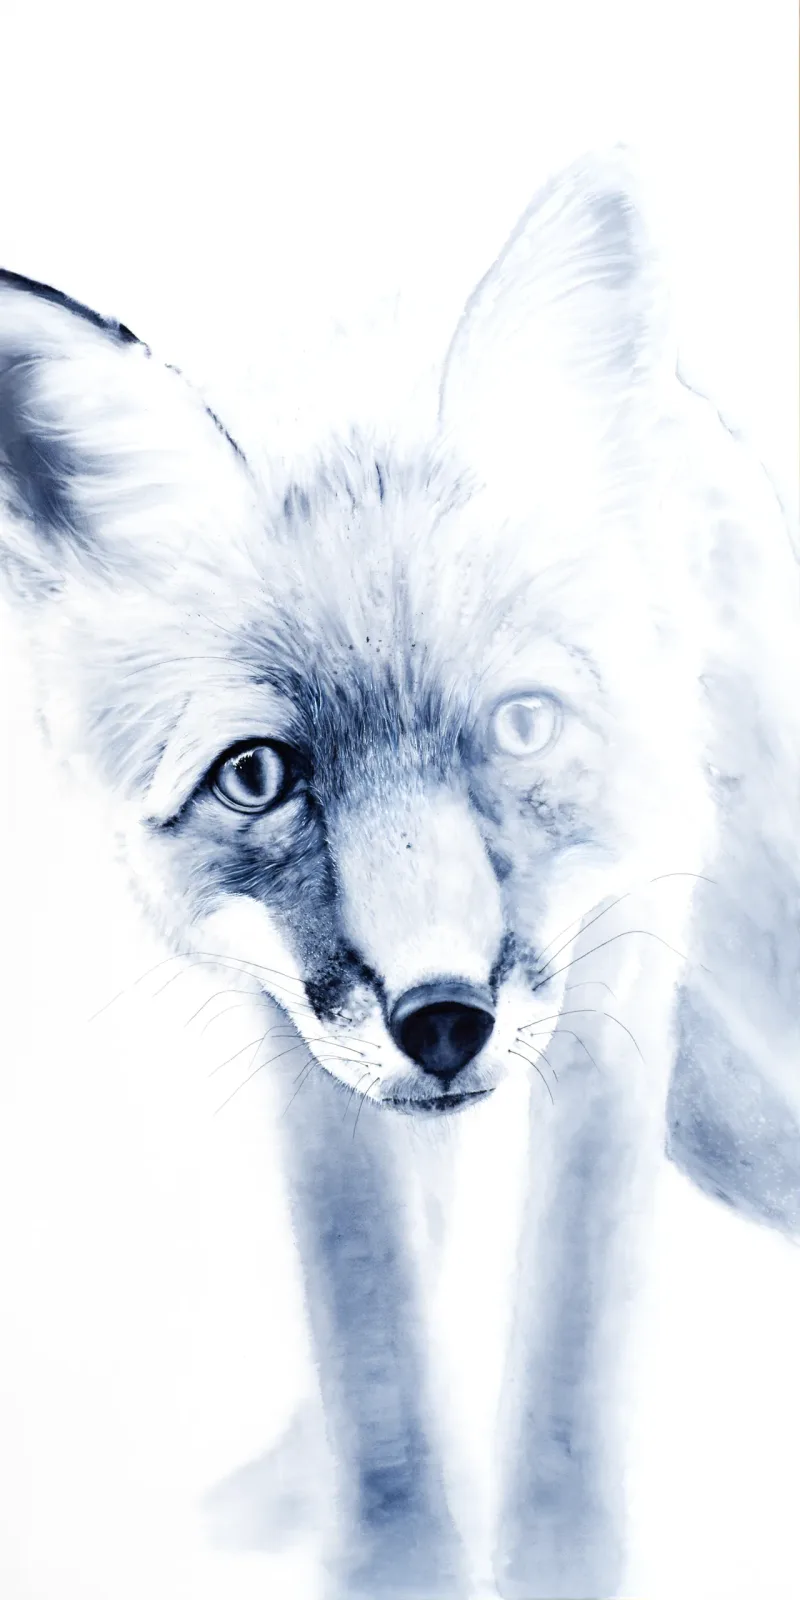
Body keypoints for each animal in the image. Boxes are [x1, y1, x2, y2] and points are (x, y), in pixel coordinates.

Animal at [1, 150, 799, 1599]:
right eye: (258, 775)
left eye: (523, 725)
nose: (442, 1020)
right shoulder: (297, 1038)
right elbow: (373, 1333)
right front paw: (394, 1556)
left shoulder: (620, 971)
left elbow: (569, 1345)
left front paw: (555, 1563)